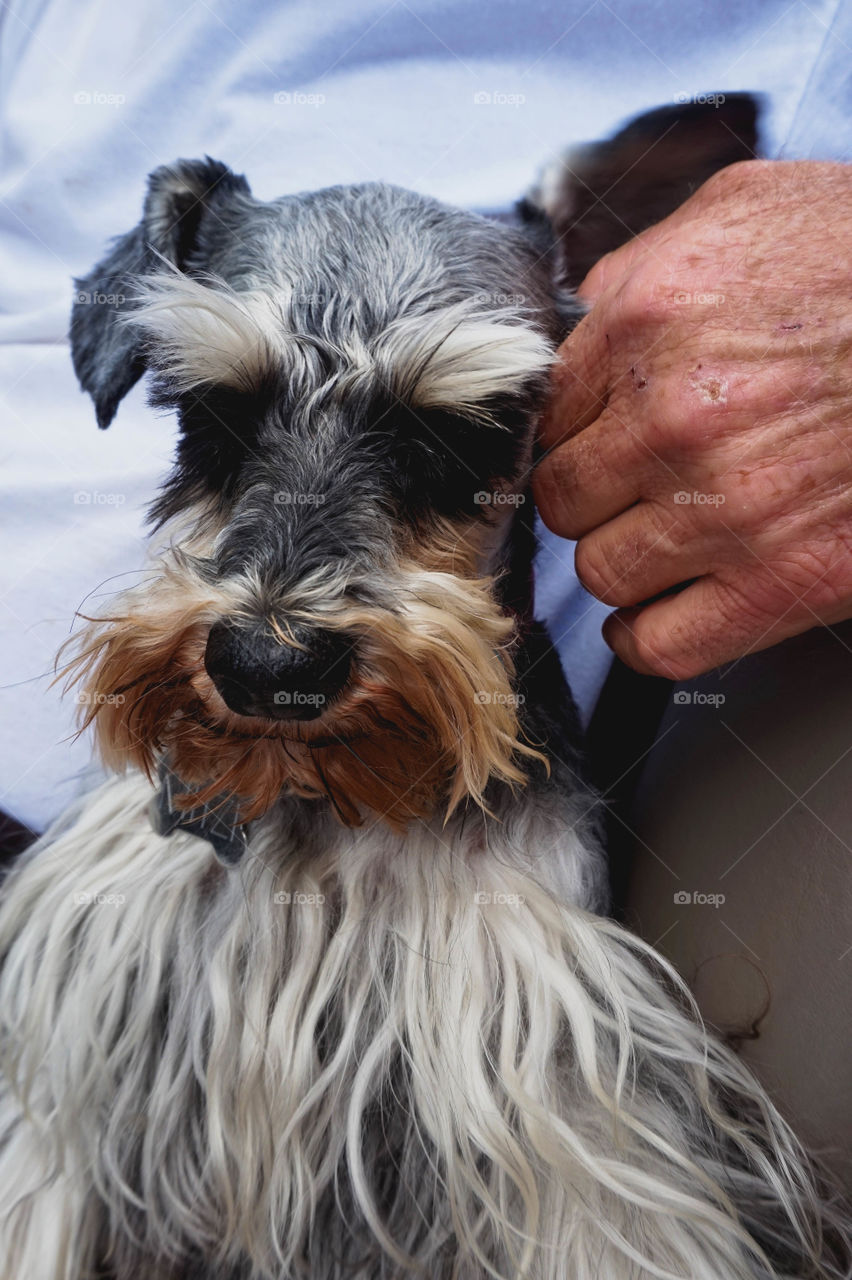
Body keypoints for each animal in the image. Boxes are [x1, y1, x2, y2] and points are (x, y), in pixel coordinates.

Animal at [0, 97, 844, 1280]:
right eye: (211, 412)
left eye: (458, 433)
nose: (268, 666)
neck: (317, 804)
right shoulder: (62, 1094)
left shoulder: (571, 1121)